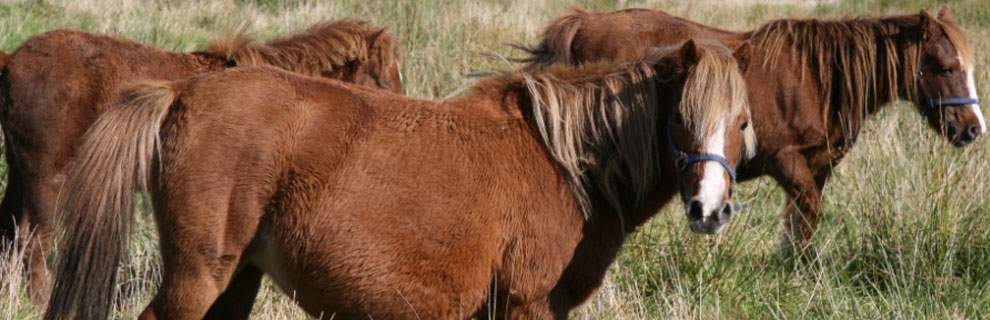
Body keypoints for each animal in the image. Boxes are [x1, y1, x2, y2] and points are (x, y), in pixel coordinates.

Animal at [0, 18, 404, 304]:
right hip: (48, 180)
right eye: (385, 81)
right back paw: (40, 301)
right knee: (34, 241)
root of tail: (13, 59)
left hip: (20, 176)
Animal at [38, 40, 752, 320]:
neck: (566, 163)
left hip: (236, 281)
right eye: (682, 120)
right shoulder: (527, 305)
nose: (709, 211)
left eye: (742, 121)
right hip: (197, 278)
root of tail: (183, 92)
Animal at [524, 6, 988, 256]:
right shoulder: (785, 160)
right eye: (944, 67)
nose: (972, 129)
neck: (816, 78)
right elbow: (807, 210)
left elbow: (803, 218)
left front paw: (794, 264)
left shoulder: (818, 164)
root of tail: (582, 22)